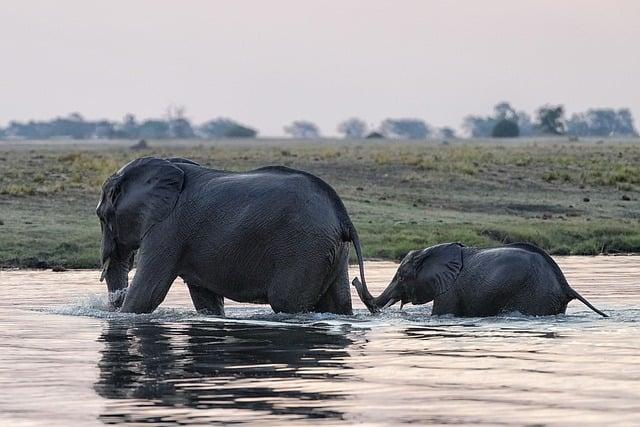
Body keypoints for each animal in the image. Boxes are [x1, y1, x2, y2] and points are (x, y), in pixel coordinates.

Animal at [94, 157, 364, 314]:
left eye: (102, 217)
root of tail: (342, 217)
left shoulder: (167, 229)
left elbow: (146, 295)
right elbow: (206, 299)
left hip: (304, 247)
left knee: (287, 301)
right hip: (331, 249)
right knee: (338, 304)